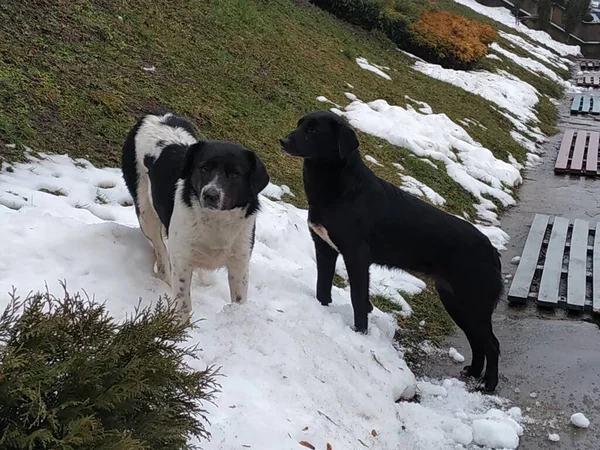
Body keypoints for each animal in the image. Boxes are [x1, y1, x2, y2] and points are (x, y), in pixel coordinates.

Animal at [120, 112, 268, 316]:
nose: (210, 195)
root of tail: (153, 115)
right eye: (204, 168)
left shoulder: (240, 262)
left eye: (235, 174)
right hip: (145, 213)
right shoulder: (182, 260)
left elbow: (239, 302)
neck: (216, 220)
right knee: (160, 249)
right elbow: (183, 304)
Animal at [280, 110, 502, 390]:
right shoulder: (324, 247)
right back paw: (473, 372)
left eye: (314, 130)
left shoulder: (356, 256)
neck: (339, 190)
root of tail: (492, 251)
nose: (283, 141)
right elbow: (323, 287)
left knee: (492, 344)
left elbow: (357, 299)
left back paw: (489, 384)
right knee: (477, 341)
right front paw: (323, 310)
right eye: (300, 125)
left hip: (472, 302)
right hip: (455, 301)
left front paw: (360, 334)